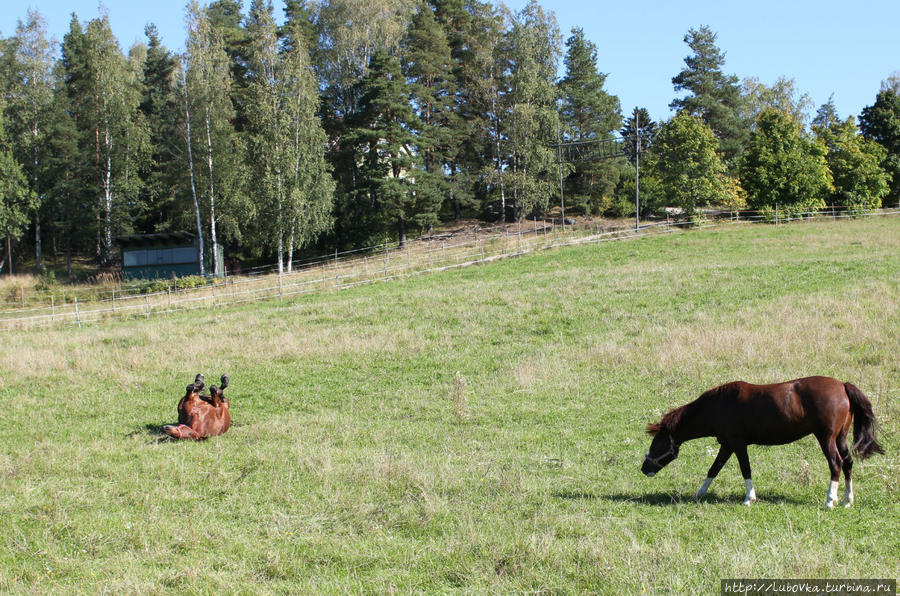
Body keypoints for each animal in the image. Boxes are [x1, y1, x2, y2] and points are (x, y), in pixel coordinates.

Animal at [640, 378, 884, 508]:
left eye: (657, 444)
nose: (643, 469)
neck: (718, 405)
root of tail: (842, 385)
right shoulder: (726, 445)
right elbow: (714, 469)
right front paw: (699, 494)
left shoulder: (737, 444)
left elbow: (745, 468)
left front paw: (749, 498)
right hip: (841, 437)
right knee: (848, 463)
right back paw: (847, 500)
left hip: (826, 438)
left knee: (836, 464)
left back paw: (830, 500)